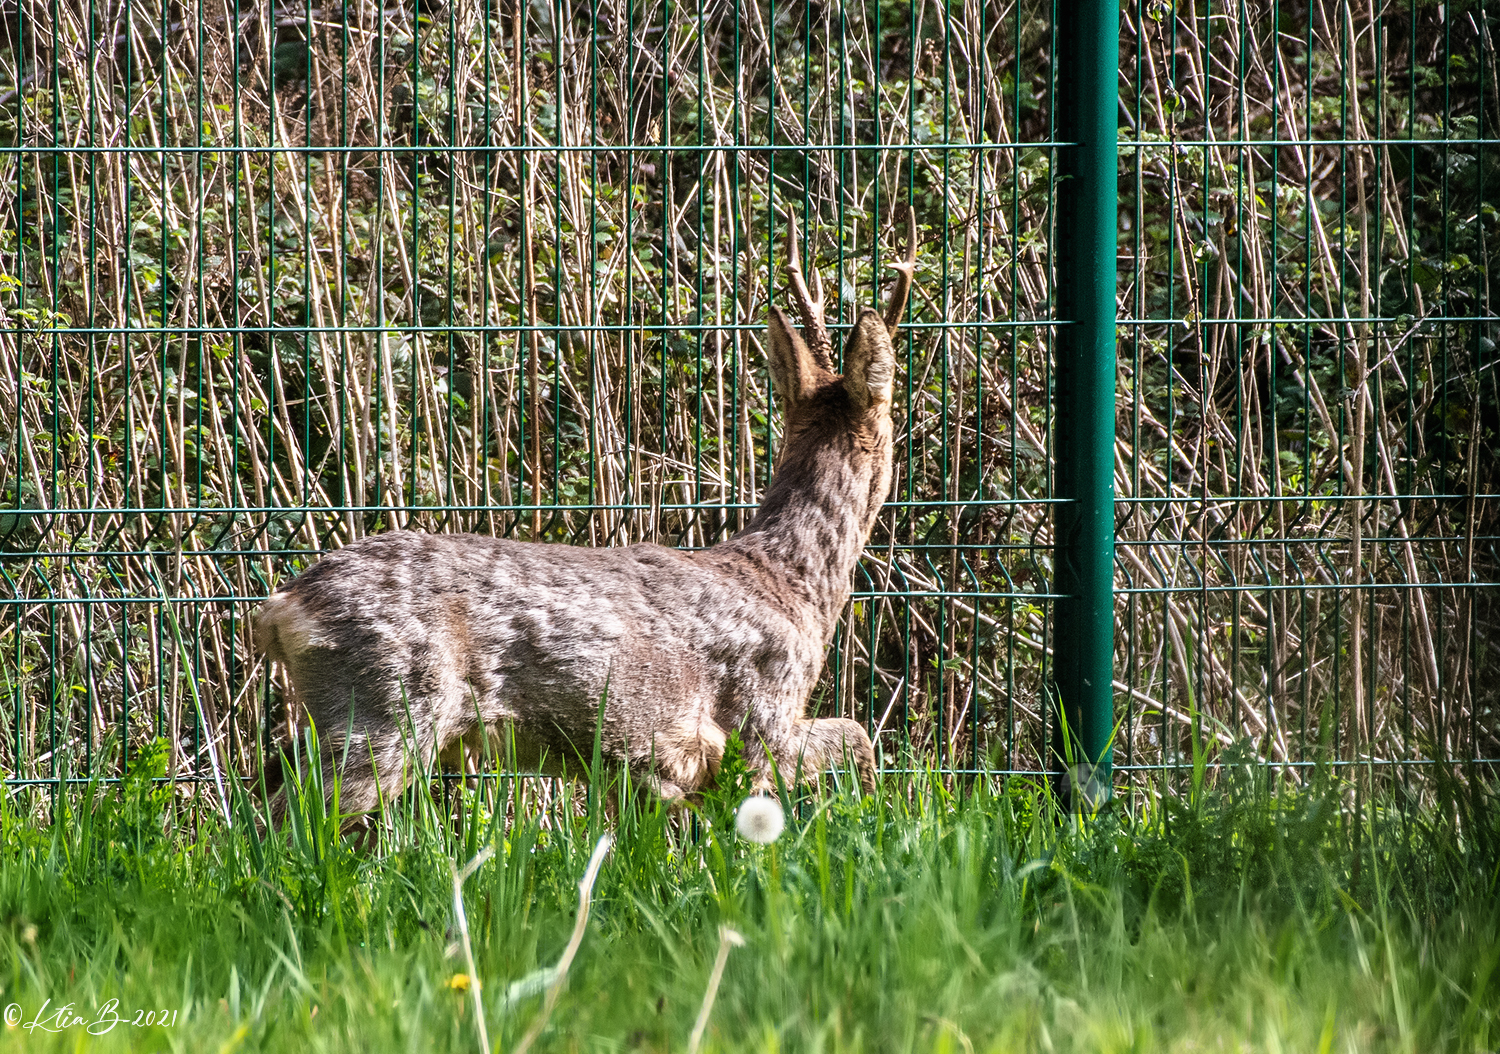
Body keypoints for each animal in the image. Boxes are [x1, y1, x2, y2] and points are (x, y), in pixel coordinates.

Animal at [256, 206, 912, 815]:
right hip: (385, 709)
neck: (796, 585)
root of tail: (282, 607)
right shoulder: (760, 726)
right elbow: (856, 737)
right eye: (894, 424)